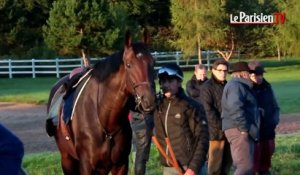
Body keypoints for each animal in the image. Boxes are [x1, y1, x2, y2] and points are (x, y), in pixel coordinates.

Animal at [47, 32, 156, 174]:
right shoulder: (86, 165)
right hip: (67, 159)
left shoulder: (121, 164)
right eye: (129, 65)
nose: (149, 100)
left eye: (153, 63)